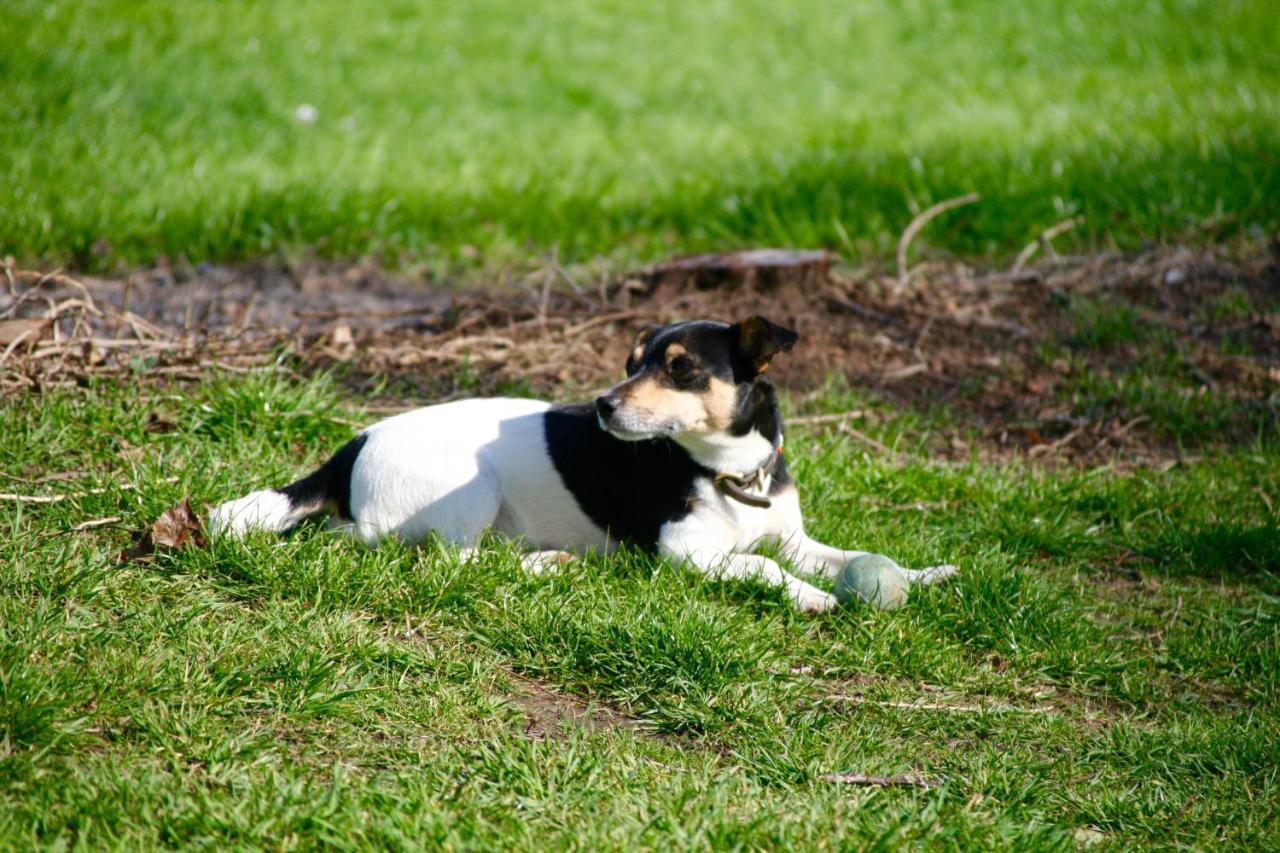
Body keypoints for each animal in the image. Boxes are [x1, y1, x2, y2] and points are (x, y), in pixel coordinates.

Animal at [209, 315, 957, 607]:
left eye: (679, 369)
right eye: (631, 365)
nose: (602, 404)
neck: (730, 473)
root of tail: (350, 448)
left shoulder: (796, 538)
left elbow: (852, 556)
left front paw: (926, 574)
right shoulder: (687, 553)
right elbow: (765, 568)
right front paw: (810, 597)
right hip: (469, 487)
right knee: (446, 559)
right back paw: (542, 563)